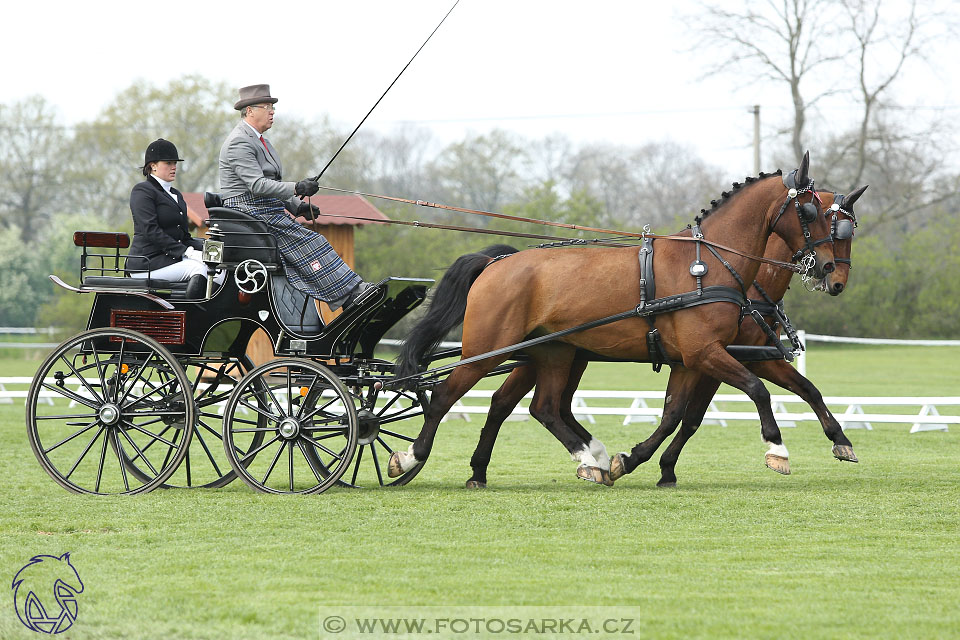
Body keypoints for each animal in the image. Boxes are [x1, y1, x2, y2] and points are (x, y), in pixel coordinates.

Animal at [394, 154, 836, 484]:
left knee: (544, 407)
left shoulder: (692, 359)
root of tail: (496, 263)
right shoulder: (706, 353)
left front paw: (638, 460)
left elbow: (676, 413)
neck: (706, 264)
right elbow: (755, 391)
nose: (829, 270)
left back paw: (586, 461)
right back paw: (411, 457)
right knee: (446, 396)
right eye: (810, 209)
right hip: (489, 349)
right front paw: (777, 449)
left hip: (554, 353)